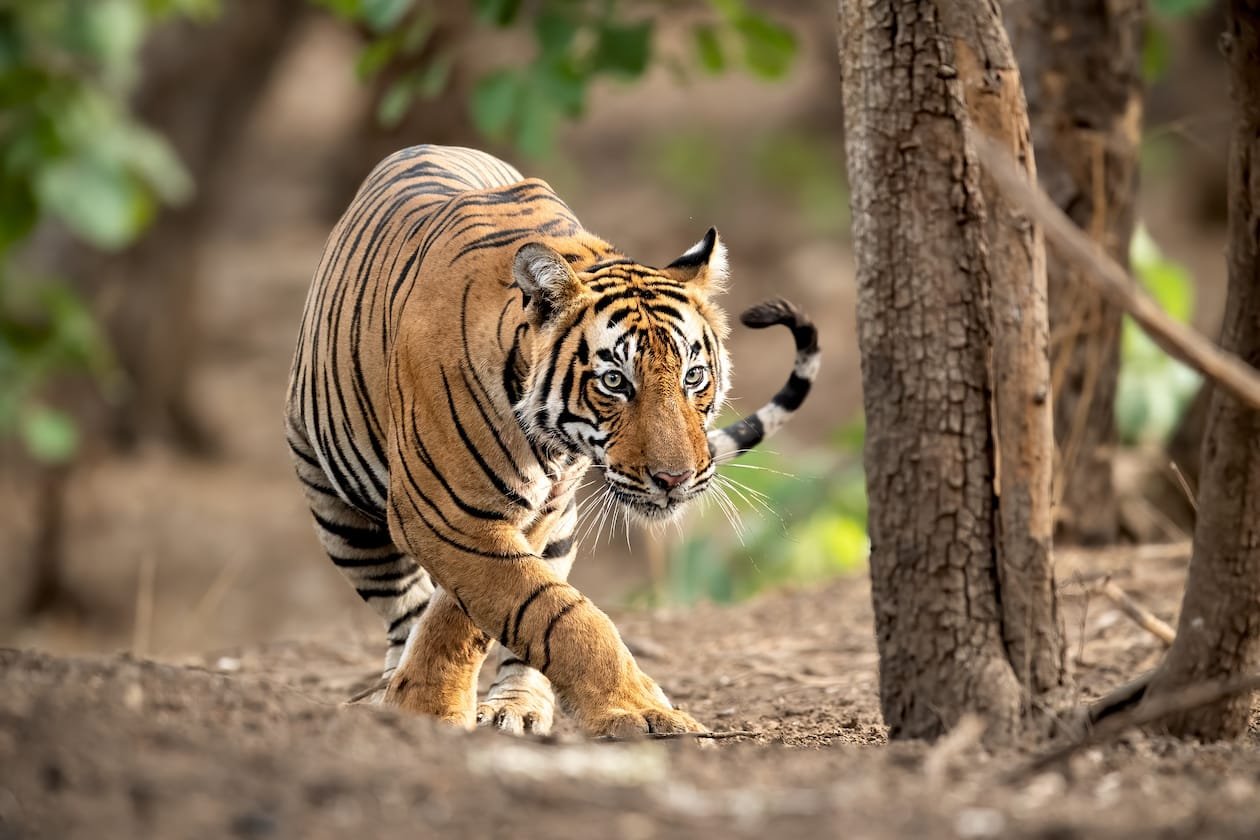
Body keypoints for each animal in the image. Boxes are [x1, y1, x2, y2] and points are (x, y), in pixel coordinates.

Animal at [285, 144, 819, 737]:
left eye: (693, 376)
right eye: (615, 382)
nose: (674, 478)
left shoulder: (532, 510)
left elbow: (493, 612)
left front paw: (427, 699)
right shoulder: (444, 514)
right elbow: (554, 615)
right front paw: (640, 710)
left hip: (559, 527)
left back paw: (513, 708)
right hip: (339, 517)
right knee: (403, 608)